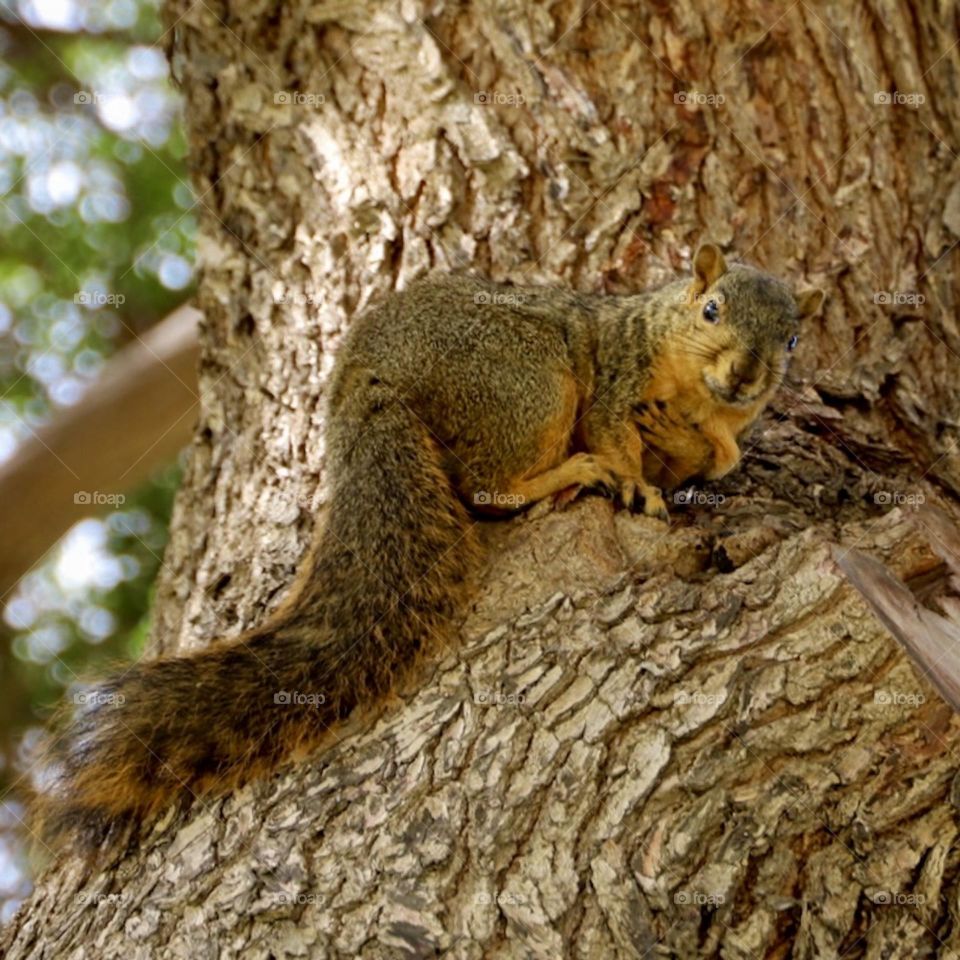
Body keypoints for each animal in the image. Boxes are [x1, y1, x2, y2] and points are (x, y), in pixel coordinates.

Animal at [35, 243, 823, 851]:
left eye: (791, 340)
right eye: (711, 310)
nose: (745, 375)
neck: (696, 393)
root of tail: (367, 382)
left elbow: (716, 457)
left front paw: (708, 456)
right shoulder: (617, 380)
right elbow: (617, 435)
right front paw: (633, 481)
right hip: (528, 377)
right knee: (485, 485)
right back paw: (570, 474)